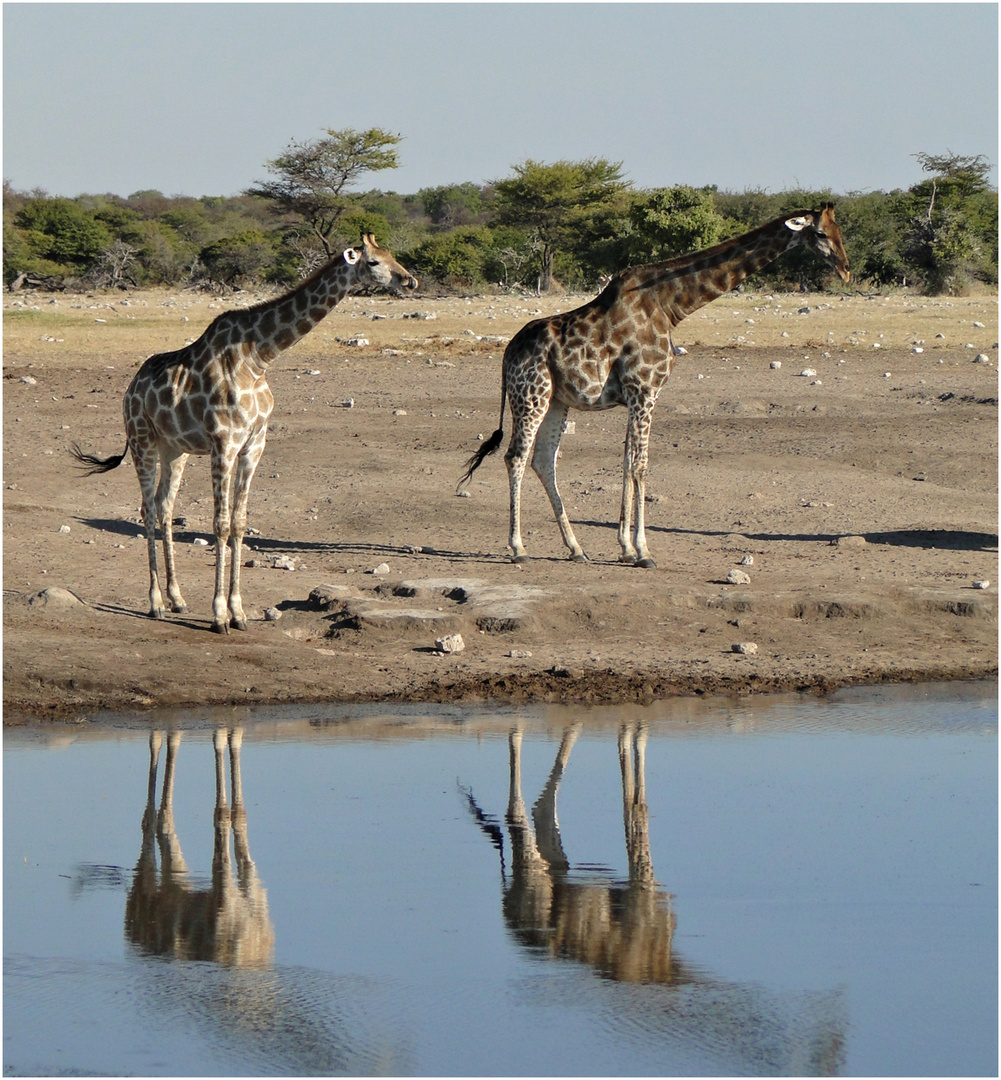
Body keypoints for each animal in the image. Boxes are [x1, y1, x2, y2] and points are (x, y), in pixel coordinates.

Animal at [70, 232, 414, 630]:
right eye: (373, 261)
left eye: (392, 255)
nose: (410, 280)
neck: (259, 358)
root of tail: (129, 388)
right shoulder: (224, 443)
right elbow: (219, 524)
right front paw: (219, 614)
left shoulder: (254, 444)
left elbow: (239, 523)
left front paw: (238, 611)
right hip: (143, 442)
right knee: (147, 509)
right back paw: (155, 603)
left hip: (176, 450)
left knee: (165, 506)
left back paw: (177, 599)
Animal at [457, 201, 850, 565]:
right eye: (819, 233)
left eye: (840, 229)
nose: (846, 270)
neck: (670, 306)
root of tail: (507, 354)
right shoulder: (646, 390)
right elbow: (640, 465)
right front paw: (643, 551)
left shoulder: (636, 395)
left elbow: (627, 462)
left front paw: (626, 548)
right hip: (530, 395)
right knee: (516, 456)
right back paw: (518, 548)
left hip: (557, 401)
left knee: (543, 460)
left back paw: (577, 549)